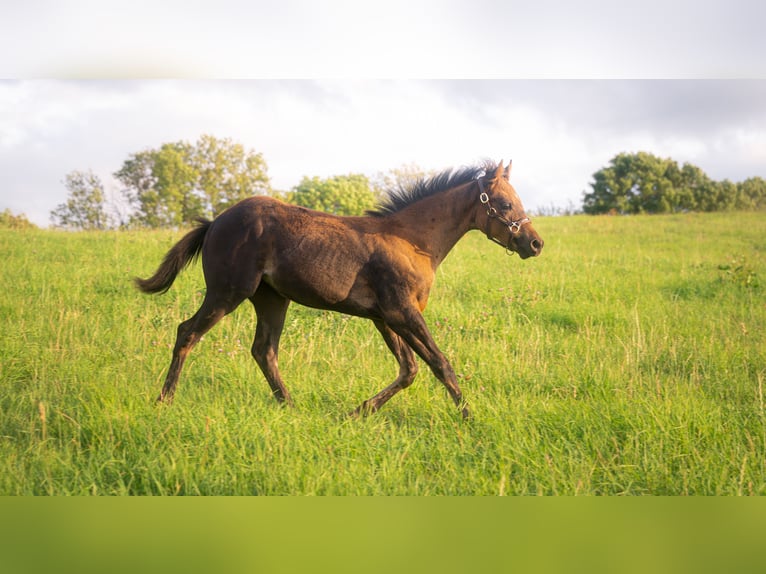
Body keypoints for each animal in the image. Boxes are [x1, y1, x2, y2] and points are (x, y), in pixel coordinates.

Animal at [135, 160, 543, 419]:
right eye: (504, 203)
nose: (535, 243)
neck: (413, 242)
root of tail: (215, 221)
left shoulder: (384, 317)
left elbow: (409, 369)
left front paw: (356, 413)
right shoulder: (401, 312)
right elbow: (440, 363)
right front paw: (470, 419)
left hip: (272, 299)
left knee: (264, 350)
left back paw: (290, 407)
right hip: (227, 291)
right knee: (188, 333)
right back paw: (164, 400)